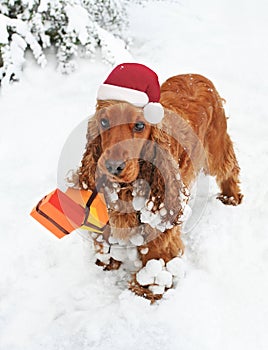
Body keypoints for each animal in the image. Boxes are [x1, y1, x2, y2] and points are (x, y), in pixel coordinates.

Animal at [76, 72, 242, 300]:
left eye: (139, 126)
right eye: (103, 121)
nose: (113, 166)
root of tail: (195, 75)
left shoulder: (162, 213)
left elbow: (157, 251)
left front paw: (147, 288)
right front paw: (107, 262)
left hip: (216, 147)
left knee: (229, 168)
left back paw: (231, 198)